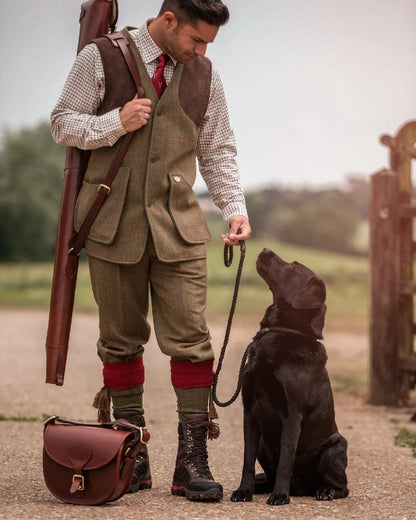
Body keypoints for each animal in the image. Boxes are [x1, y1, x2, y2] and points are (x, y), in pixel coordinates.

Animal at [231, 250, 348, 506]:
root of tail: (302, 489)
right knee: (265, 473)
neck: (282, 331)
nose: (265, 249)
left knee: (343, 487)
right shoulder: (250, 412)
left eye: (293, 267)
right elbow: (247, 460)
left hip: (335, 447)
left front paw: (280, 495)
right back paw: (260, 485)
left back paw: (325, 491)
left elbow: (285, 460)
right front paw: (243, 491)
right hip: (264, 443)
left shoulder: (292, 414)